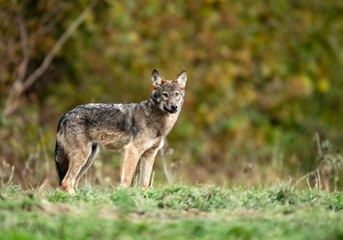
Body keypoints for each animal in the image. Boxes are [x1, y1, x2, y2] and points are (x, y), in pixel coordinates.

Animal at [54, 69, 188, 193]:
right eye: (165, 94)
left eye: (177, 94)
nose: (174, 106)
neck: (156, 120)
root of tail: (65, 115)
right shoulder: (132, 150)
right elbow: (127, 179)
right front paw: (124, 195)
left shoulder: (149, 154)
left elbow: (145, 183)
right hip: (83, 156)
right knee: (66, 182)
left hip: (89, 158)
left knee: (72, 182)